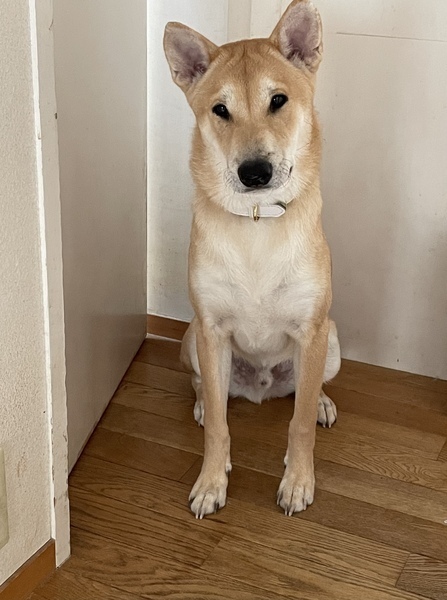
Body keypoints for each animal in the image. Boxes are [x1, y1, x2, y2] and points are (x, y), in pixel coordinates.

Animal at [164, 0, 341, 518]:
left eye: (278, 101)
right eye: (220, 110)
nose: (255, 172)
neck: (257, 222)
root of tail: (261, 386)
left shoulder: (312, 328)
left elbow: (297, 425)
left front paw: (298, 482)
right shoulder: (211, 328)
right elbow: (222, 431)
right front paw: (210, 482)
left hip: (331, 341)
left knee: (306, 391)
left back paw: (320, 402)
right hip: (191, 339)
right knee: (207, 388)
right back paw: (205, 405)